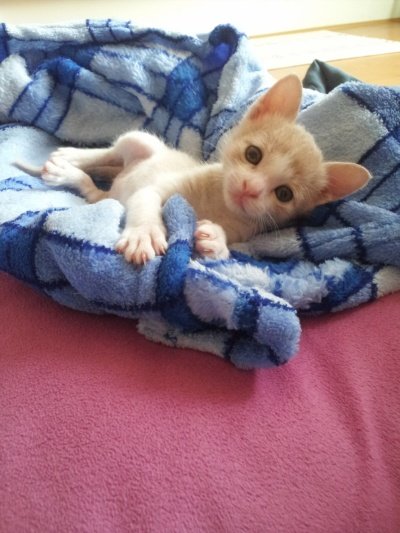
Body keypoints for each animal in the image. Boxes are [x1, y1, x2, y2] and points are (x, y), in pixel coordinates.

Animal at [16, 74, 371, 265]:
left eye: (284, 194)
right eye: (253, 154)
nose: (250, 189)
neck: (215, 202)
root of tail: (112, 189)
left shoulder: (246, 231)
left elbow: (227, 247)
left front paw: (215, 241)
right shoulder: (159, 187)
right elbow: (146, 201)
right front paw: (145, 233)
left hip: (107, 195)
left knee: (94, 191)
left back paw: (71, 175)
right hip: (142, 141)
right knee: (109, 152)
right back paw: (67, 159)